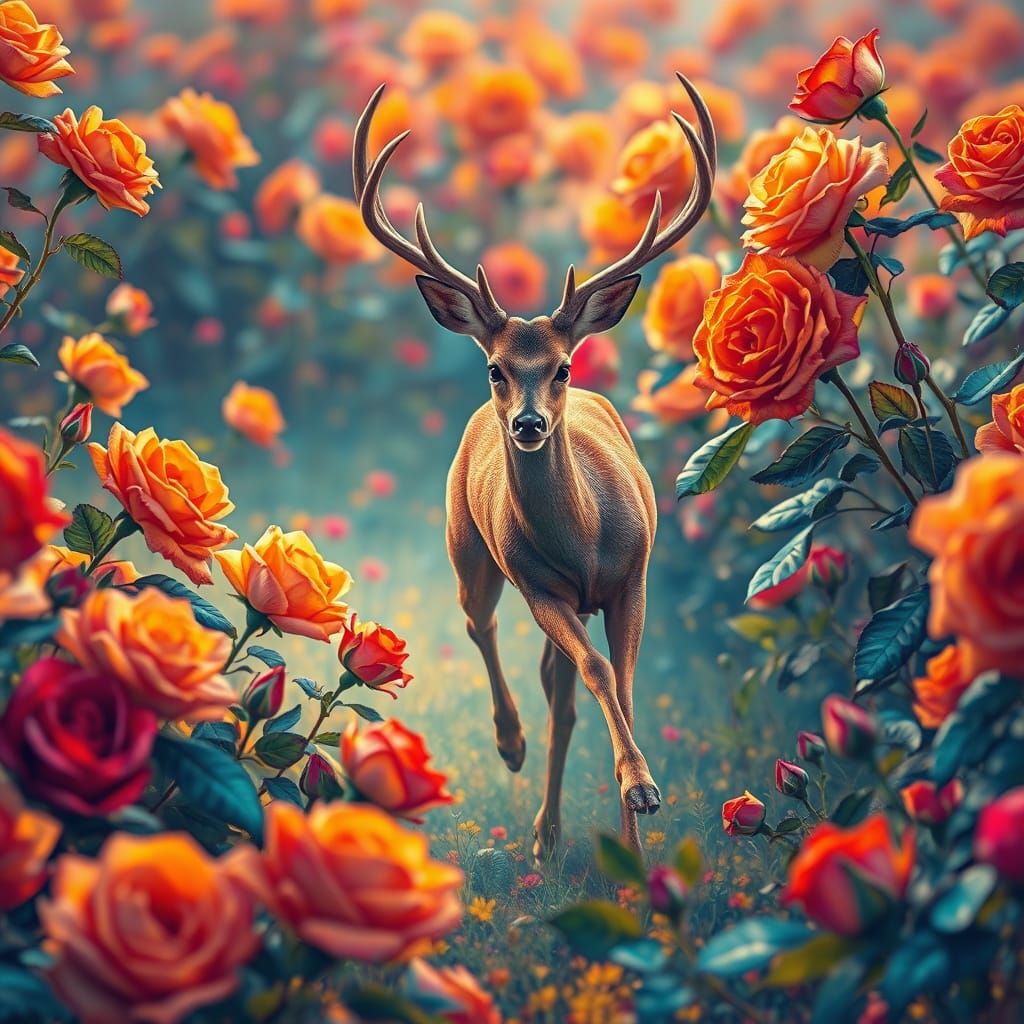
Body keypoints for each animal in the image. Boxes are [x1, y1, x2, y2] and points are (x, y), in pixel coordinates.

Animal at [352, 76, 716, 858]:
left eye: (563, 366)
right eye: (495, 368)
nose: (526, 423)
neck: (584, 542)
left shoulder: (633, 576)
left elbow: (621, 686)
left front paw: (638, 819)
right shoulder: (539, 584)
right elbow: (600, 672)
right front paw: (639, 790)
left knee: (561, 684)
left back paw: (551, 830)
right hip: (469, 548)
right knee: (483, 629)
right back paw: (514, 752)